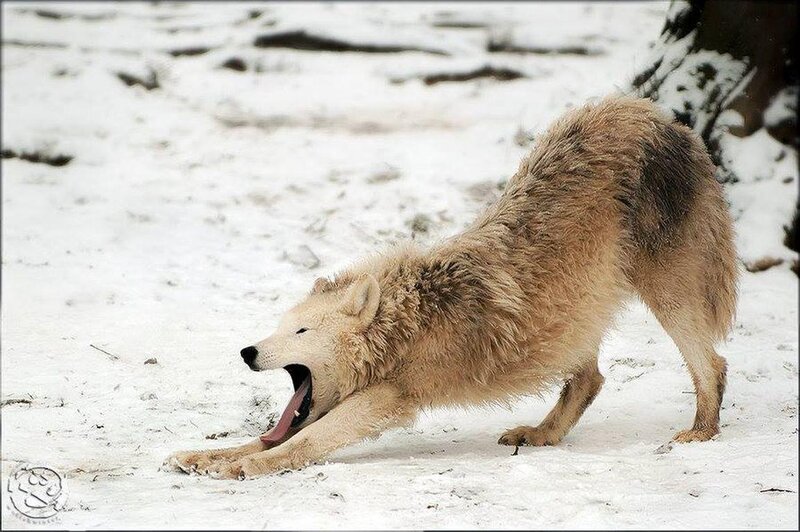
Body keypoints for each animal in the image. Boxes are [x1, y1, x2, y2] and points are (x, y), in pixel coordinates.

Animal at [165, 96, 738, 479]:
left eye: (301, 332)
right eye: (277, 327)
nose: (247, 351)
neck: (405, 320)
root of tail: (660, 117)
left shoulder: (392, 396)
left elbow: (299, 442)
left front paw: (242, 469)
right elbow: (266, 437)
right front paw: (203, 456)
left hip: (665, 293)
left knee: (712, 363)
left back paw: (700, 433)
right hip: (577, 313)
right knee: (591, 379)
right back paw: (540, 435)